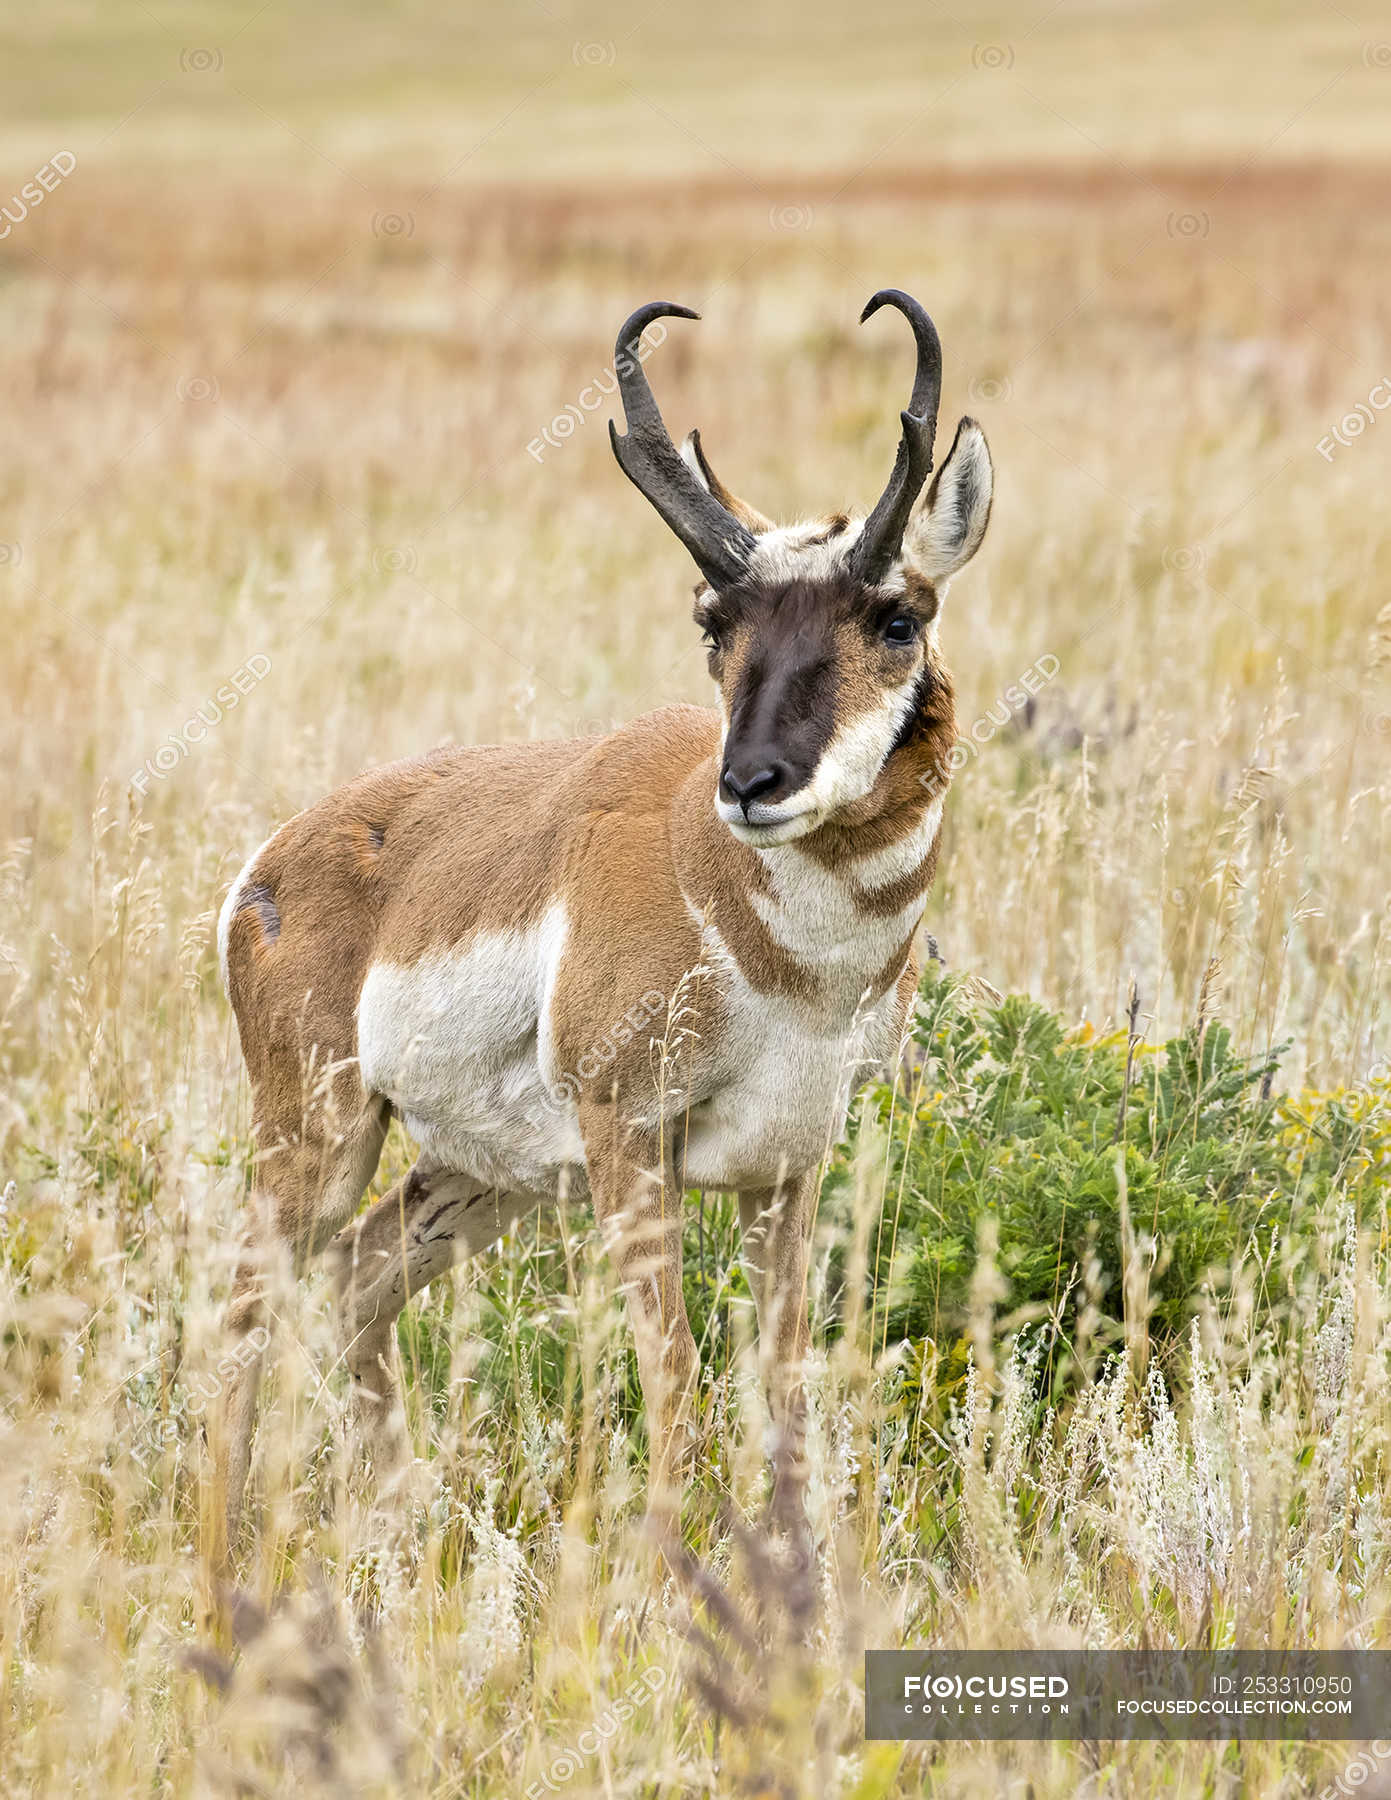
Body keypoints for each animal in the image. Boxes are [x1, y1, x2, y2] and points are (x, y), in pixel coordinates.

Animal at [216, 288, 993, 1540]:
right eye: (712, 620)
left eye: (894, 617)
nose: (751, 783)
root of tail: (274, 862)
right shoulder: (631, 1145)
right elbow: (671, 1369)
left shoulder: (786, 1169)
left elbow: (783, 1378)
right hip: (324, 1141)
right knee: (245, 1306)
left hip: (478, 1176)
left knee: (355, 1280)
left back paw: (397, 1520)